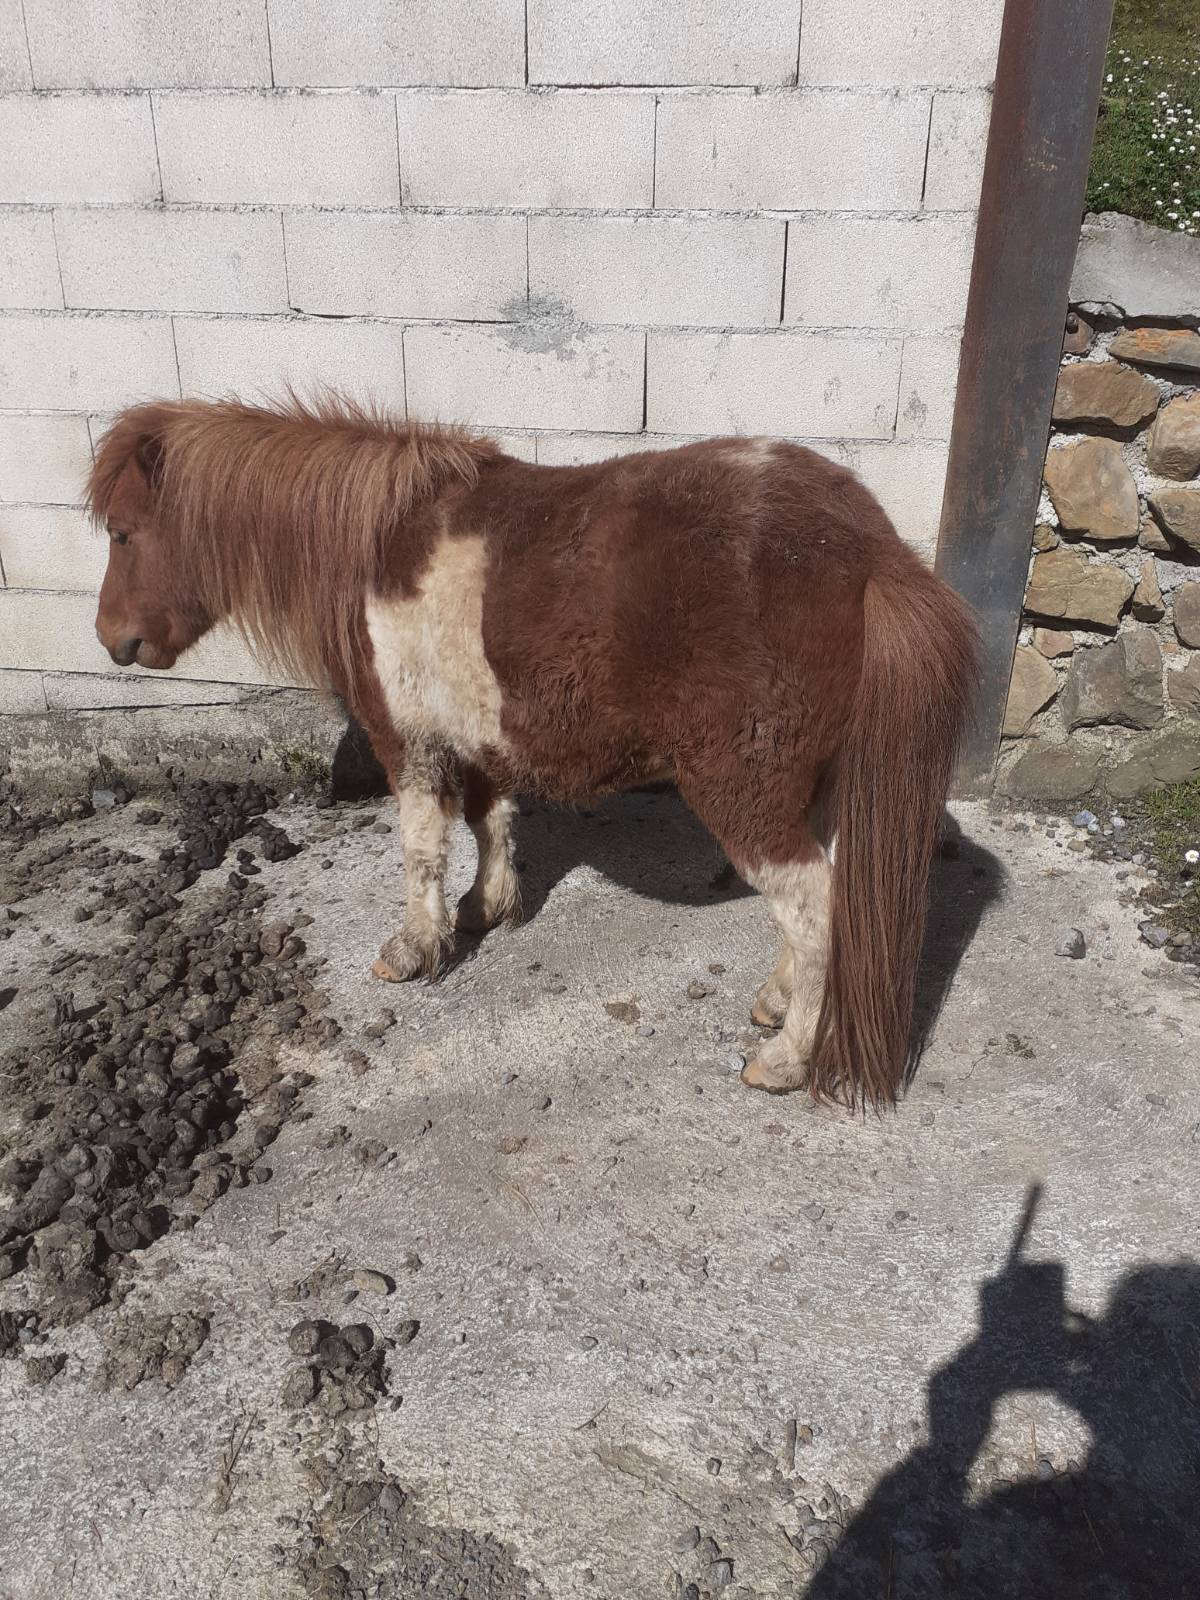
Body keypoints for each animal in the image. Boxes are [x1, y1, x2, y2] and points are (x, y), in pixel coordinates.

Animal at [86, 395, 979, 1109]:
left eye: (125, 534)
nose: (112, 640)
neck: (377, 547)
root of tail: (870, 554)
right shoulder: (477, 734)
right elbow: (492, 821)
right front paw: (486, 907)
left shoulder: (410, 742)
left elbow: (421, 847)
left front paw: (416, 948)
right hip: (812, 786)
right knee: (819, 896)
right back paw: (776, 1001)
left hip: (746, 795)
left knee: (816, 906)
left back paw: (786, 1059)